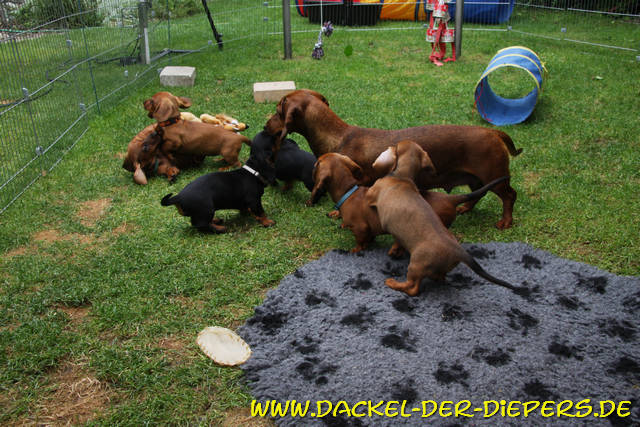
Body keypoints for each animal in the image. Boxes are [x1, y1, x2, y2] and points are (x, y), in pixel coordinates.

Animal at [264, 89, 522, 229]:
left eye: (278, 112)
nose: (265, 127)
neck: (339, 136)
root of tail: (494, 132)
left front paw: (338, 214)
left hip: (496, 177)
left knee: (509, 196)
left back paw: (506, 221)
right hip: (478, 178)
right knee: (478, 193)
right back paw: (465, 207)